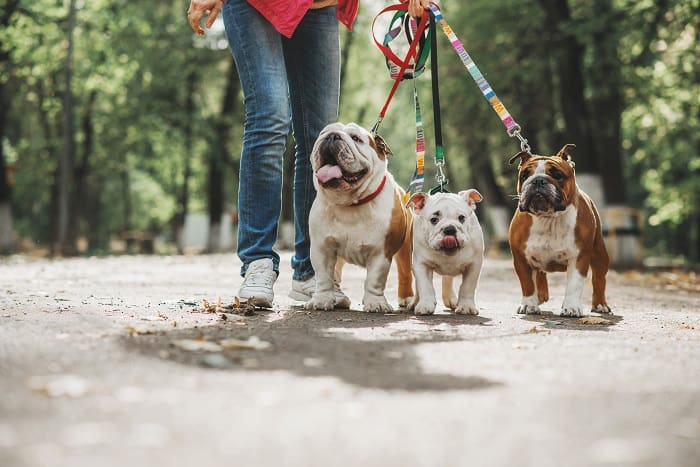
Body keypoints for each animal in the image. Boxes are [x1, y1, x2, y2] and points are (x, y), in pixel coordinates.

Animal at [304, 124, 412, 314]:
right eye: (323, 133)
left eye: (356, 138)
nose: (332, 136)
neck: (350, 203)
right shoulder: (322, 248)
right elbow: (323, 277)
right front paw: (322, 299)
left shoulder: (380, 252)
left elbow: (374, 280)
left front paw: (376, 303)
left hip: (406, 250)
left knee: (405, 273)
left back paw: (408, 299)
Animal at [408, 188, 484, 316]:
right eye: (434, 220)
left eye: (462, 218)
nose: (450, 228)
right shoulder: (421, 264)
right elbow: (425, 286)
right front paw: (425, 305)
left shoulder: (473, 265)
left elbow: (467, 286)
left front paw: (466, 307)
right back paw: (415, 303)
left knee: (448, 279)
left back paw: (451, 300)